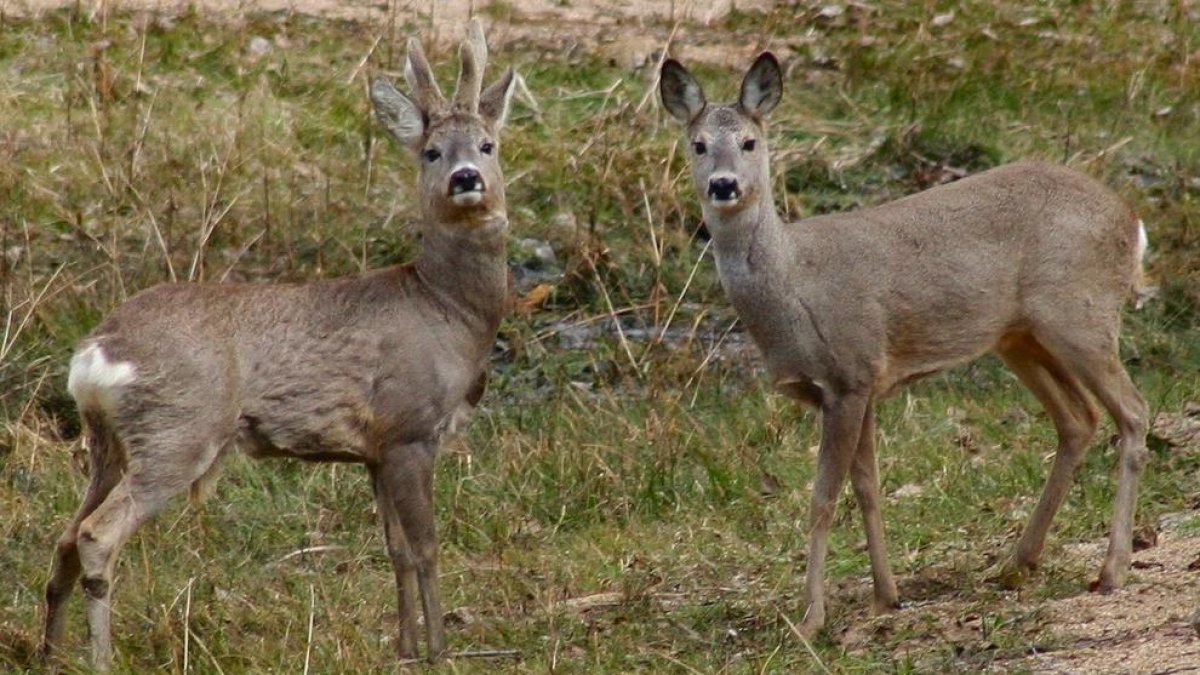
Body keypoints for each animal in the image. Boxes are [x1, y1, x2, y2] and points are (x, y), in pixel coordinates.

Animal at [36, 18, 516, 662]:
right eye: (432, 151)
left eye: (488, 145)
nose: (466, 178)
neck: (445, 310)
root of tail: (96, 352)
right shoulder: (410, 428)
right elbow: (426, 547)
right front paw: (438, 650)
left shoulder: (375, 448)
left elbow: (394, 550)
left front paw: (405, 647)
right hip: (177, 430)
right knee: (95, 534)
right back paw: (101, 660)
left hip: (107, 442)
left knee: (65, 534)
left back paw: (49, 655)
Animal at [662, 53, 1147, 634]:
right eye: (698, 144)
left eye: (750, 142)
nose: (723, 185)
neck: (794, 287)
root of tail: (1131, 221)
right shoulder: (863, 383)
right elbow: (867, 487)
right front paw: (885, 596)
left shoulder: (849, 373)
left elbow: (823, 498)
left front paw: (811, 617)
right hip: (1021, 337)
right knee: (1079, 419)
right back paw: (1016, 564)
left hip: (1081, 314)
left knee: (1133, 413)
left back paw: (1112, 569)